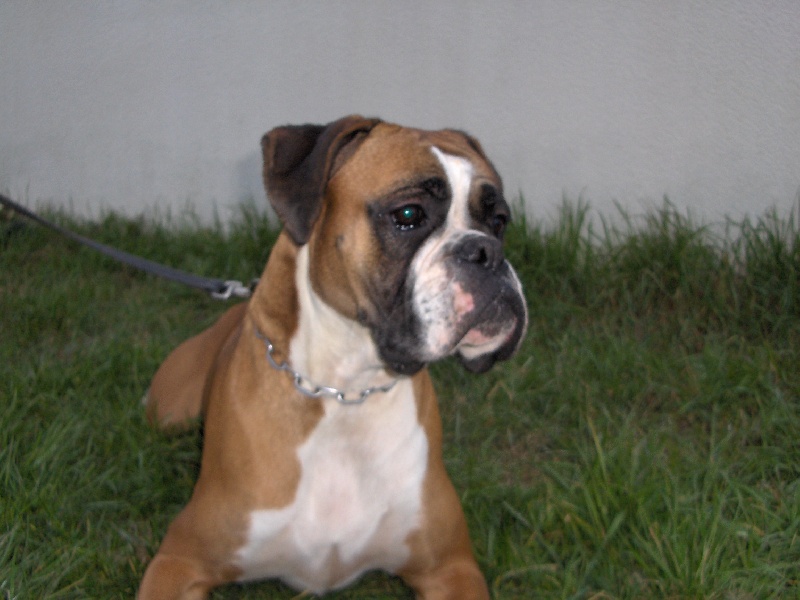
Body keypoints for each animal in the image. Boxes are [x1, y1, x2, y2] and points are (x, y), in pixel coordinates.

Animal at [138, 115, 527, 599]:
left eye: (499, 221)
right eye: (408, 215)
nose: (488, 252)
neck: (346, 390)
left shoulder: (450, 568)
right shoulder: (179, 560)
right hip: (168, 412)